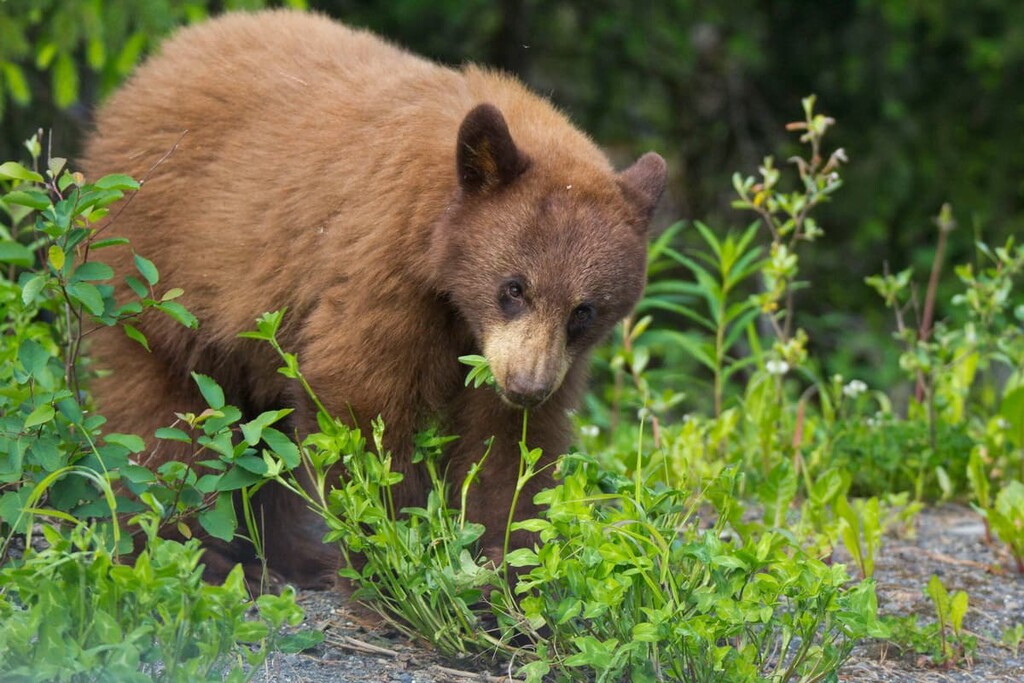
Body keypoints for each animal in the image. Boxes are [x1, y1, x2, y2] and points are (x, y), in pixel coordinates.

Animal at [83, 9, 667, 589]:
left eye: (584, 311)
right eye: (514, 287)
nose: (527, 386)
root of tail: (153, 64)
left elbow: (509, 444)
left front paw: (509, 574)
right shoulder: (382, 264)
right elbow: (361, 403)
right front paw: (389, 566)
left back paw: (289, 555)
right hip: (156, 276)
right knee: (161, 421)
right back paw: (190, 555)